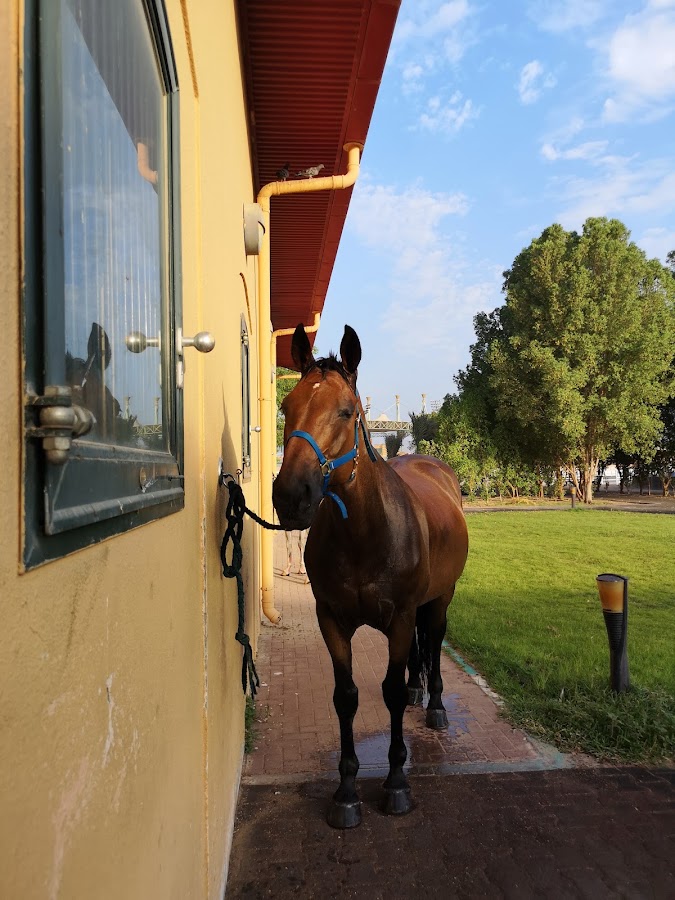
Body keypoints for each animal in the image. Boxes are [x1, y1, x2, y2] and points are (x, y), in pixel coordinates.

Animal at [272, 324, 468, 828]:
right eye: (286, 406)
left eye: (346, 411)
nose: (290, 495)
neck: (364, 534)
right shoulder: (332, 621)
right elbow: (346, 696)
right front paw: (346, 791)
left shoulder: (399, 619)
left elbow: (391, 692)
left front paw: (397, 783)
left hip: (441, 599)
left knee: (434, 643)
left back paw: (435, 705)